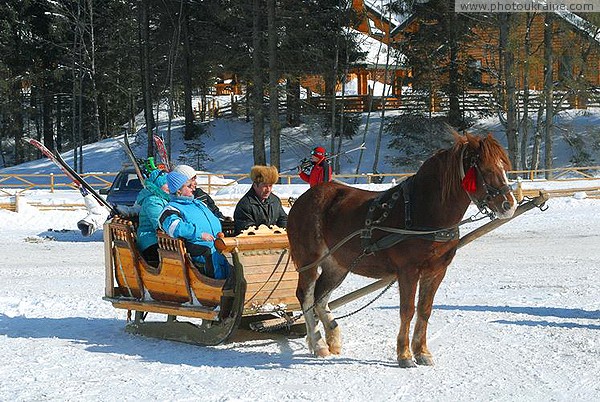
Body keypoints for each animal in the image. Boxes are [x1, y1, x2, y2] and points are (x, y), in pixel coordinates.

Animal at [286, 132, 516, 368]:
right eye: (486, 169)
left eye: (504, 167)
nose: (509, 205)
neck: (422, 211)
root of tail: (302, 200)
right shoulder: (408, 270)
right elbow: (407, 310)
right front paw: (404, 355)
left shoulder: (436, 271)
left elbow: (424, 310)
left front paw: (422, 352)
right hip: (309, 261)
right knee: (306, 296)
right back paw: (318, 344)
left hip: (337, 265)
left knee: (321, 298)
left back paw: (331, 339)